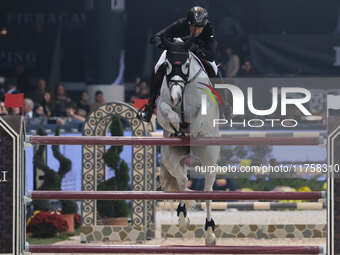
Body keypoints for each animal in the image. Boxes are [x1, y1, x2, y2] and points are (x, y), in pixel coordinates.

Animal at [157, 37, 220, 245]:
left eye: (185, 64)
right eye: (167, 65)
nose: (176, 97)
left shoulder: (204, 108)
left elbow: (199, 119)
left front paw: (190, 130)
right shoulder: (162, 106)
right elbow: (167, 112)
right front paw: (177, 125)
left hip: (210, 160)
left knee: (208, 191)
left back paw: (210, 234)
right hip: (170, 158)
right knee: (183, 180)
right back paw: (183, 218)